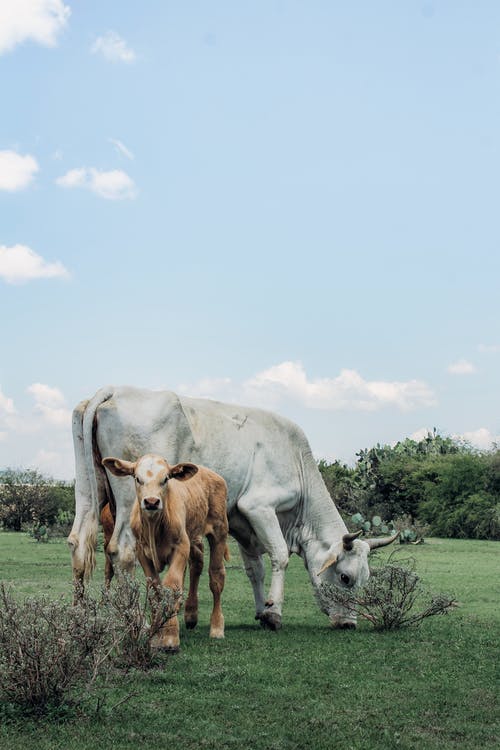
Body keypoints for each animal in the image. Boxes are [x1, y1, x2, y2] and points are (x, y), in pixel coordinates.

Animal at [68, 384, 396, 632]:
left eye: (365, 579)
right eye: (345, 577)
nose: (349, 624)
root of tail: (115, 390)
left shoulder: (241, 521)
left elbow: (255, 568)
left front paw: (261, 610)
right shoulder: (260, 506)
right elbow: (279, 556)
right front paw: (274, 613)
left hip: (89, 491)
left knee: (78, 543)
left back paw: (81, 618)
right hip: (131, 499)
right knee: (121, 550)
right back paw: (135, 620)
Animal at [103, 452, 229, 652]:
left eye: (165, 479)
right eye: (138, 479)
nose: (151, 502)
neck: (155, 526)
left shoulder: (181, 547)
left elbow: (172, 586)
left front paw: (170, 636)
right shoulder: (142, 552)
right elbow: (155, 588)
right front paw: (156, 635)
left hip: (219, 531)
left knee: (216, 578)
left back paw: (216, 627)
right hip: (194, 537)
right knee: (197, 564)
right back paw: (190, 615)